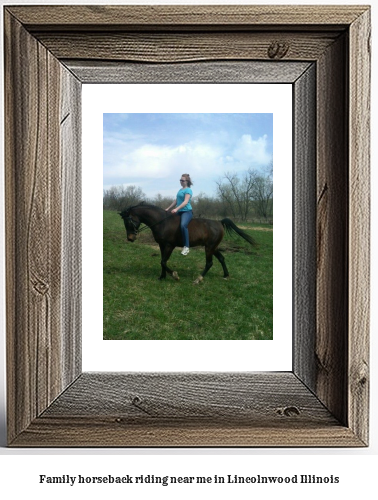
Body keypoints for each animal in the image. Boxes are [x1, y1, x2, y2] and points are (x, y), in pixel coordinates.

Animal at [120, 201, 256, 284]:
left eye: (128, 221)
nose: (130, 238)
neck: (162, 222)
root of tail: (219, 222)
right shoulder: (162, 245)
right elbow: (162, 261)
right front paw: (162, 277)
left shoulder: (169, 245)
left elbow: (163, 261)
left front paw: (174, 275)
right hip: (213, 247)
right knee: (222, 258)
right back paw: (226, 275)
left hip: (209, 248)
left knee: (209, 263)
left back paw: (198, 279)